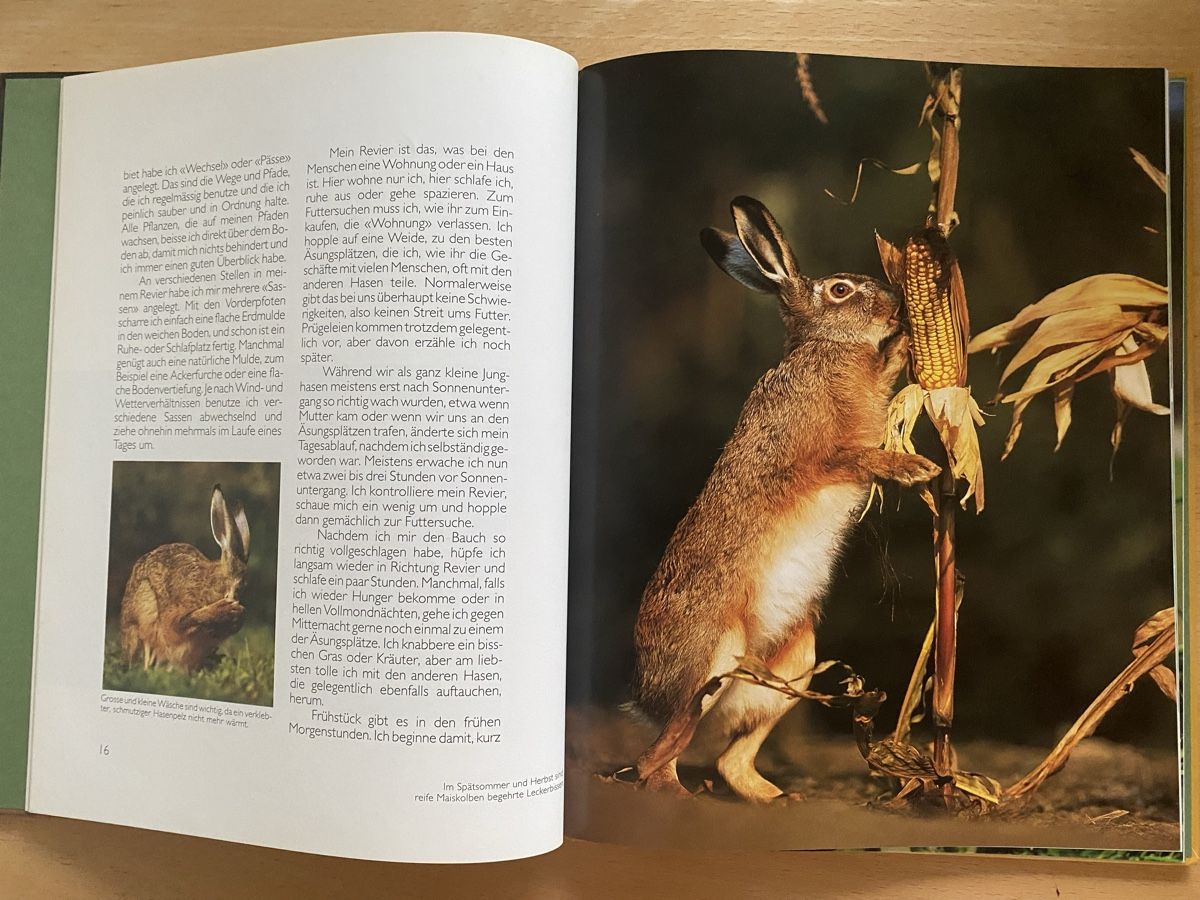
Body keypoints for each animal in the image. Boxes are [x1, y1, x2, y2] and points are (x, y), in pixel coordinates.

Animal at [120, 484, 249, 673]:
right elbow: (181, 623)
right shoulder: (178, 610)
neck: (209, 584)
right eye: (239, 586)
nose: (240, 614)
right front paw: (224, 610)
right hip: (145, 604)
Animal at [630, 196, 940, 803]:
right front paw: (914, 469)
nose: (896, 302)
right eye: (840, 290)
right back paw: (678, 795)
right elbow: (857, 460)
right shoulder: (811, 459)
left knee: (729, 758)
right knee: (655, 759)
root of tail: (644, 699)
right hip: (713, 659)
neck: (824, 348)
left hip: (797, 662)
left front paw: (907, 339)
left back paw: (776, 798)